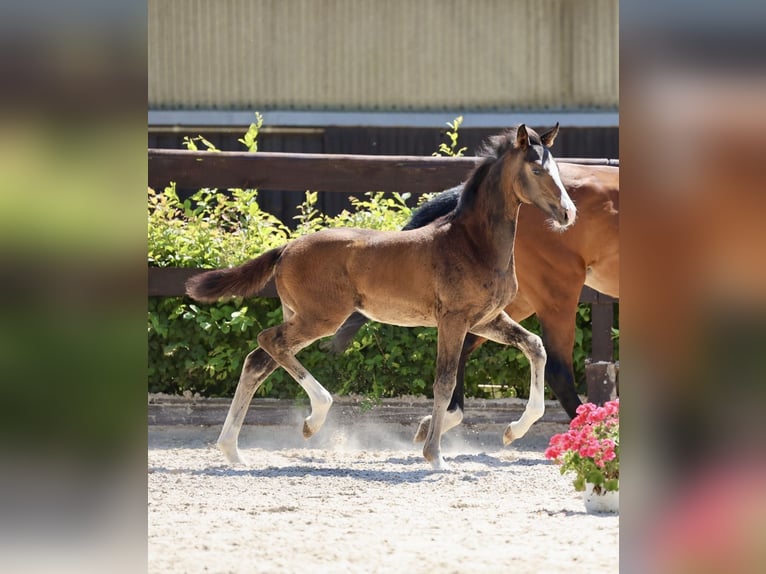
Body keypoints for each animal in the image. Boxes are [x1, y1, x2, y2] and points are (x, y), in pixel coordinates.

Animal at [186, 124, 576, 470]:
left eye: (557, 169)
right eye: (537, 169)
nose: (569, 213)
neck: (472, 244)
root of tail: (286, 249)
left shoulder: (486, 318)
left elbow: (535, 346)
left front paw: (513, 431)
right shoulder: (453, 319)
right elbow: (444, 381)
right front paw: (435, 456)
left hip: (300, 317)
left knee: (258, 361)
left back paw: (234, 451)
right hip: (320, 318)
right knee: (268, 341)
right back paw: (313, 419)